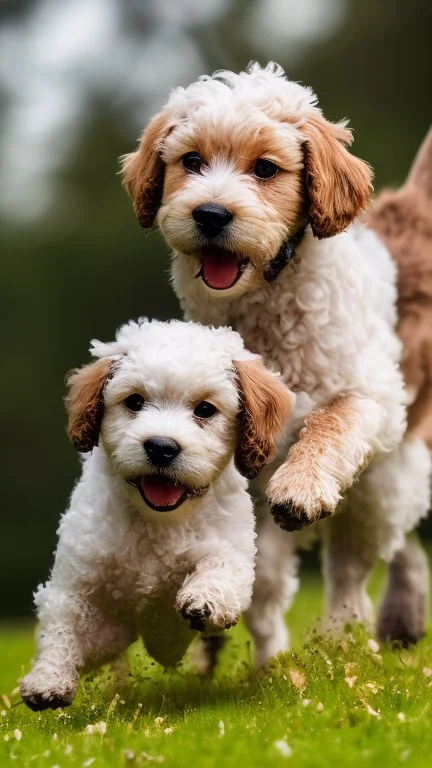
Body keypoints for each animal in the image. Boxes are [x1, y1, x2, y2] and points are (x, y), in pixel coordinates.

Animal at [20, 316, 294, 708]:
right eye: (134, 401)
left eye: (205, 410)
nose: (162, 447)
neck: (158, 520)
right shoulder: (79, 581)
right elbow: (62, 625)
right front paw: (48, 679)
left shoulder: (231, 545)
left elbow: (221, 565)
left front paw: (205, 599)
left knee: (268, 624)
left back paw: (270, 669)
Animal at [122, 63, 432, 648]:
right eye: (191, 161)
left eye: (266, 168)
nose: (211, 214)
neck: (266, 305)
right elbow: (255, 579)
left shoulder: (374, 395)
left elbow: (333, 421)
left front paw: (301, 488)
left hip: (385, 476)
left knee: (356, 566)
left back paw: (345, 636)